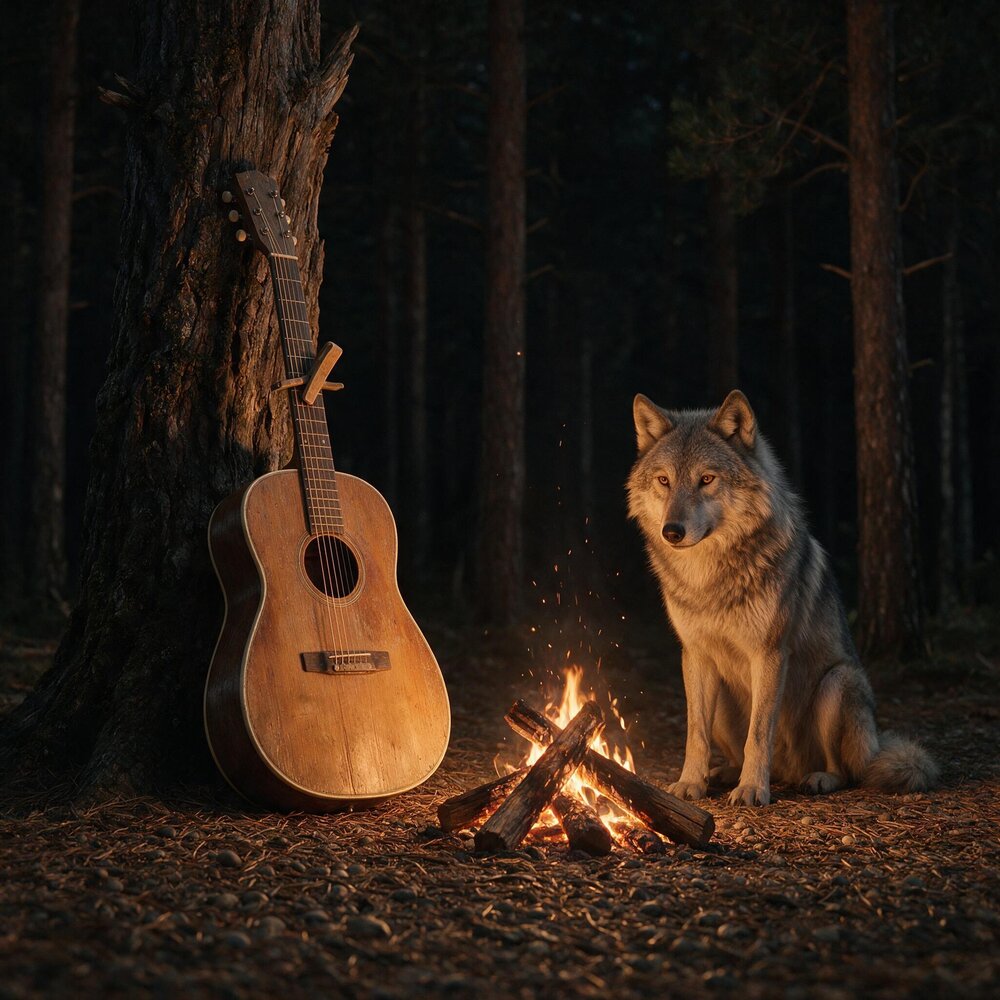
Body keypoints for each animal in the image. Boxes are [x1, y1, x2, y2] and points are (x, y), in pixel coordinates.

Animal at [627, 389, 938, 806]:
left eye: (706, 479)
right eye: (664, 480)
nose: (671, 531)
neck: (708, 578)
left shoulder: (770, 653)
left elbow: (760, 732)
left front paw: (752, 789)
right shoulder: (695, 654)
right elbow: (695, 733)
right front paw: (691, 782)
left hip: (837, 684)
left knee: (847, 770)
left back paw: (817, 778)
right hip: (724, 700)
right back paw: (726, 772)